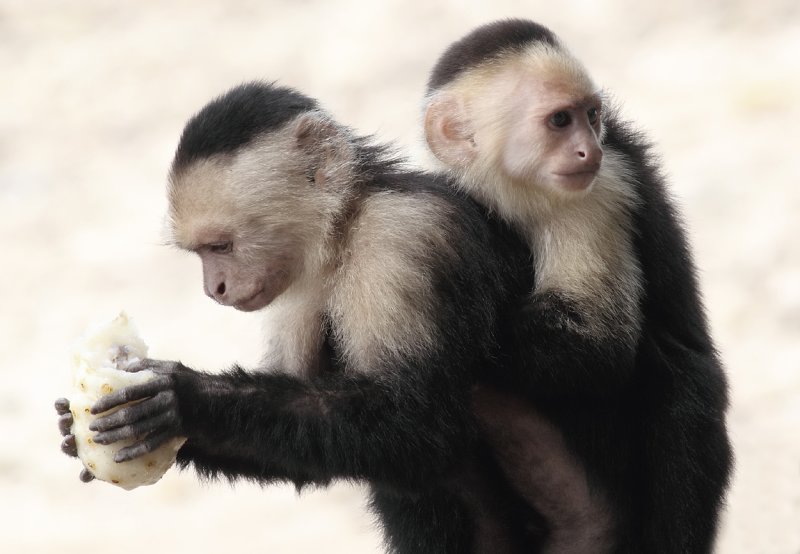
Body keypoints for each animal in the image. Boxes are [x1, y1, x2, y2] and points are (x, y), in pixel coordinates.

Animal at [54, 82, 564, 552]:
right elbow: (302, 451)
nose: (213, 289)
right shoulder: (295, 284)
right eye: (200, 252)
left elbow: (421, 428)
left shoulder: (406, 236)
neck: (348, 226)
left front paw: (184, 399)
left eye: (221, 247)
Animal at [424, 18, 732, 552]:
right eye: (559, 121)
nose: (590, 148)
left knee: (683, 395)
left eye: (591, 115)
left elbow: (595, 345)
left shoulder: (599, 189)